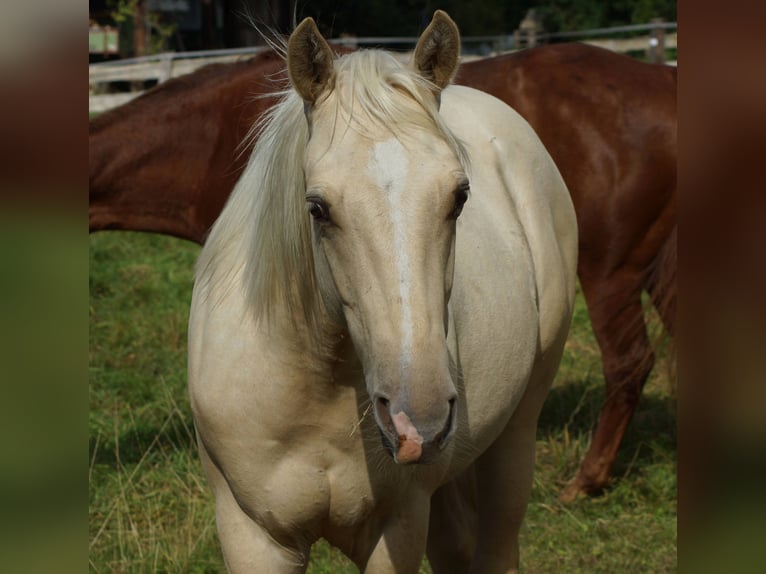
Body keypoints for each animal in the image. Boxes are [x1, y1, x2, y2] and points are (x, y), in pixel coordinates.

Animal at [188, 11, 577, 573]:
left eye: (460, 197)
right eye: (318, 208)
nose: (419, 423)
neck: (317, 389)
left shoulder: (399, 524)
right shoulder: (253, 535)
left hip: (516, 433)